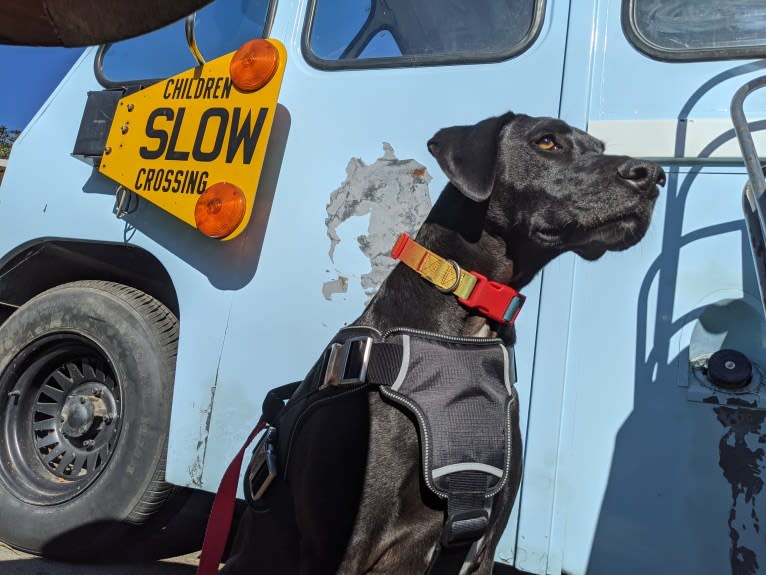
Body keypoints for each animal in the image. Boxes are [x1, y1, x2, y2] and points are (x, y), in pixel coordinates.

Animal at [222, 112, 664, 575]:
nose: (653, 175)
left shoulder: (486, 540)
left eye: (599, 148)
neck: (466, 329)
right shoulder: (343, 545)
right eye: (546, 142)